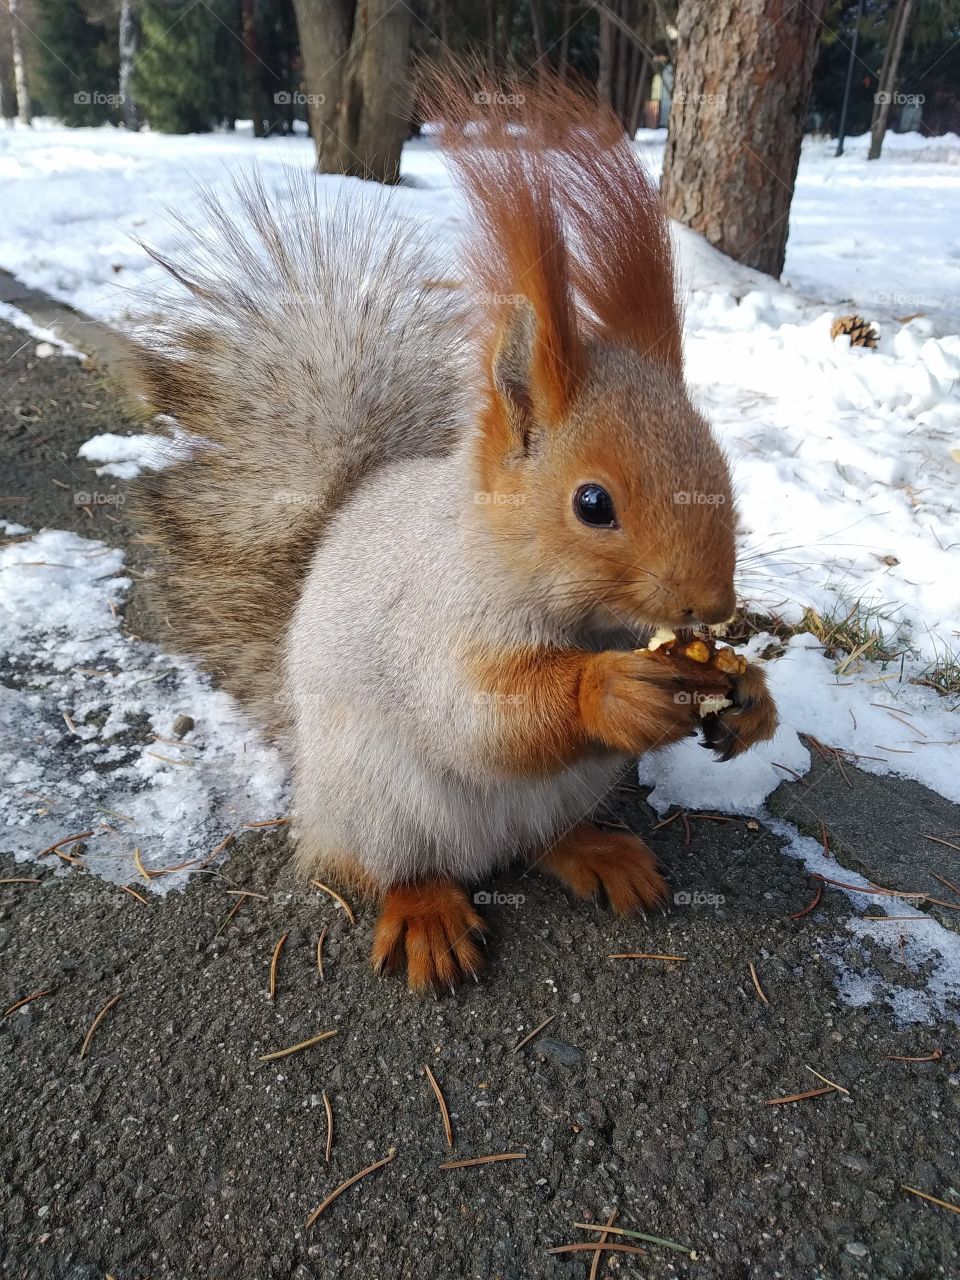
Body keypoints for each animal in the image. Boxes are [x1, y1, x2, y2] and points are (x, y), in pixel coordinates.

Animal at [128, 77, 778, 991]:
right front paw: (608, 691)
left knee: (543, 839)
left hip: (566, 789)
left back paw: (598, 853)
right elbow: (472, 712)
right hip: (381, 803)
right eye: (592, 504)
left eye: (722, 464)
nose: (714, 605)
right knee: (387, 866)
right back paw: (427, 912)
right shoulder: (431, 618)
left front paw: (749, 694)